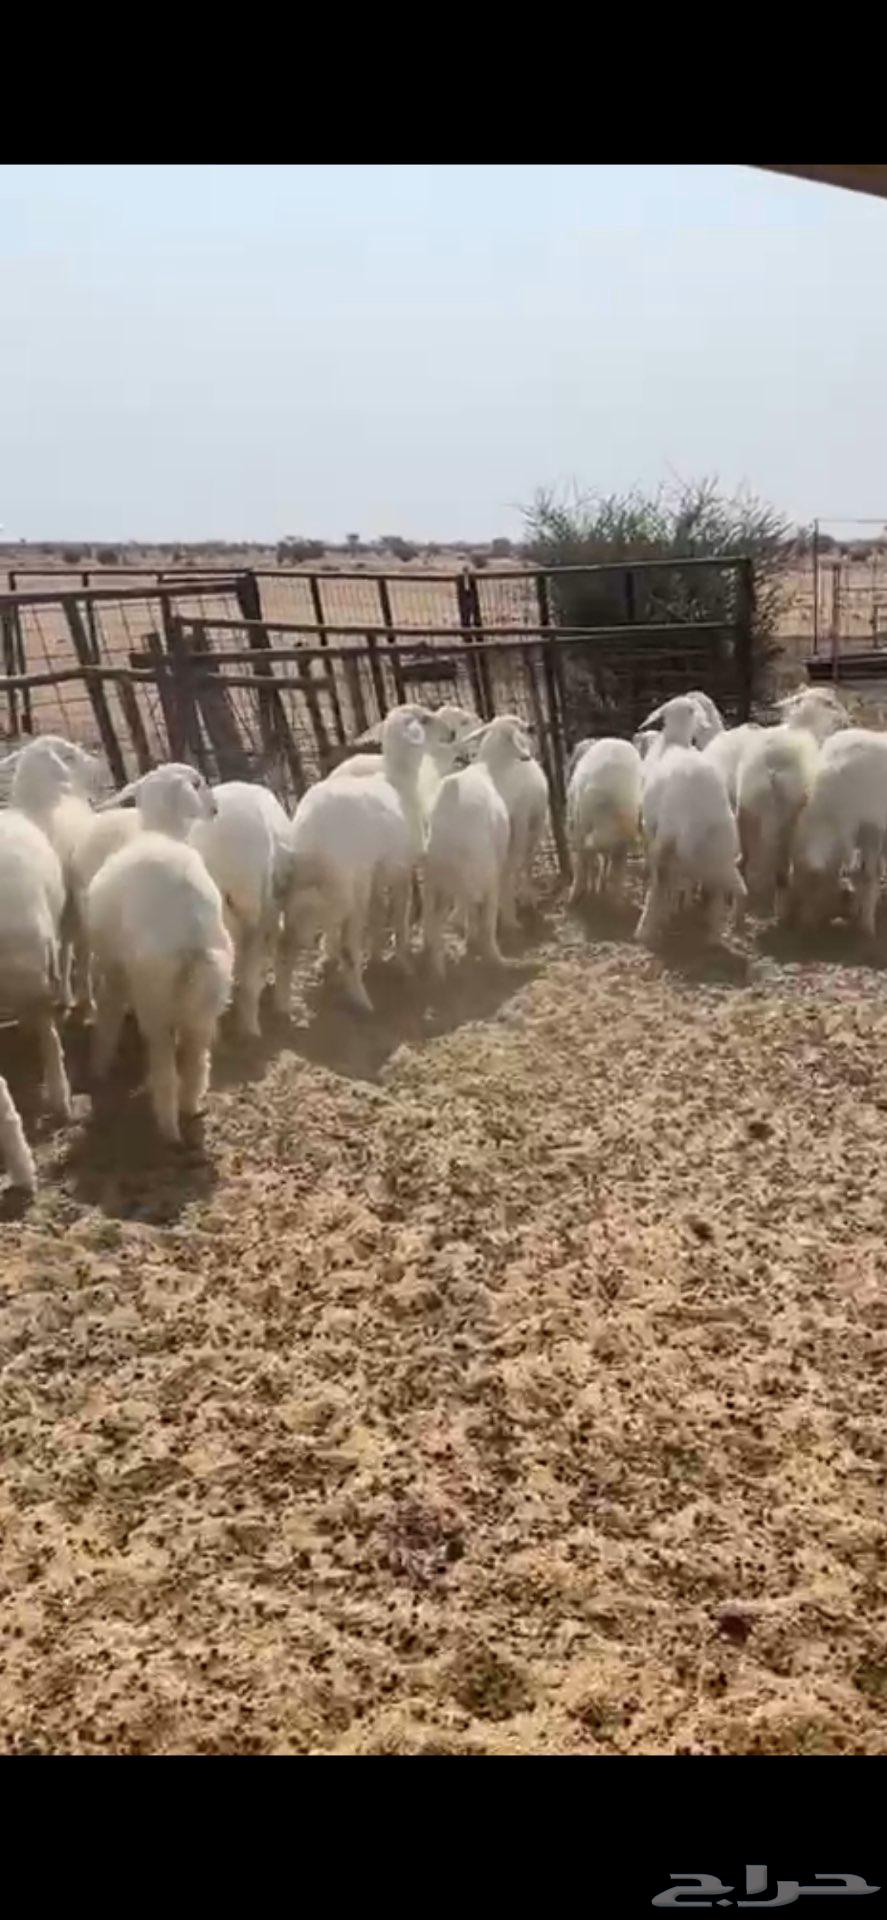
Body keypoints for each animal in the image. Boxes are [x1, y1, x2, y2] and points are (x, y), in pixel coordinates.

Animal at [86, 767, 234, 1143]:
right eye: (198, 784)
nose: (215, 809)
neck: (159, 830)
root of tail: (189, 928)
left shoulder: (112, 968)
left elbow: (108, 1014)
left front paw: (100, 1065)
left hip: (154, 995)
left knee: (165, 1065)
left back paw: (168, 1127)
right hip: (210, 992)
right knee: (196, 1060)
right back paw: (191, 1106)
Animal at [276, 707, 434, 1015]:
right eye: (425, 719)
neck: (399, 780)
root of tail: (311, 834)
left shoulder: (374, 877)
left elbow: (377, 915)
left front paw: (377, 957)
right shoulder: (399, 871)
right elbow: (398, 920)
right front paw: (403, 964)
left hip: (303, 890)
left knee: (288, 942)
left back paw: (285, 1004)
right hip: (343, 893)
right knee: (343, 946)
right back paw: (361, 1000)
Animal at [421, 716, 522, 977]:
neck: (487, 769)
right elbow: (480, 917)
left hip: (435, 883)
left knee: (434, 922)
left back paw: (438, 969)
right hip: (481, 877)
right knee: (483, 918)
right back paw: (498, 959)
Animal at [788, 729, 887, 936]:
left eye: (813, 884)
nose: (802, 928)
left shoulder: (872, 831)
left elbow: (868, 876)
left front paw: (866, 926)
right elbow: (860, 874)